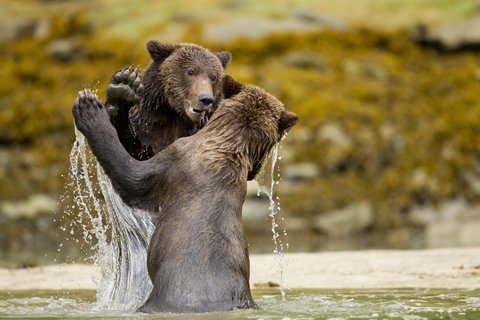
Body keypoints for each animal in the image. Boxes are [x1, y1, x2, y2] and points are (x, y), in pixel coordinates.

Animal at [72, 75, 296, 312]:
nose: (257, 170)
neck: (226, 146)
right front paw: (124, 88)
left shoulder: (174, 159)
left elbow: (130, 175)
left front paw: (89, 108)